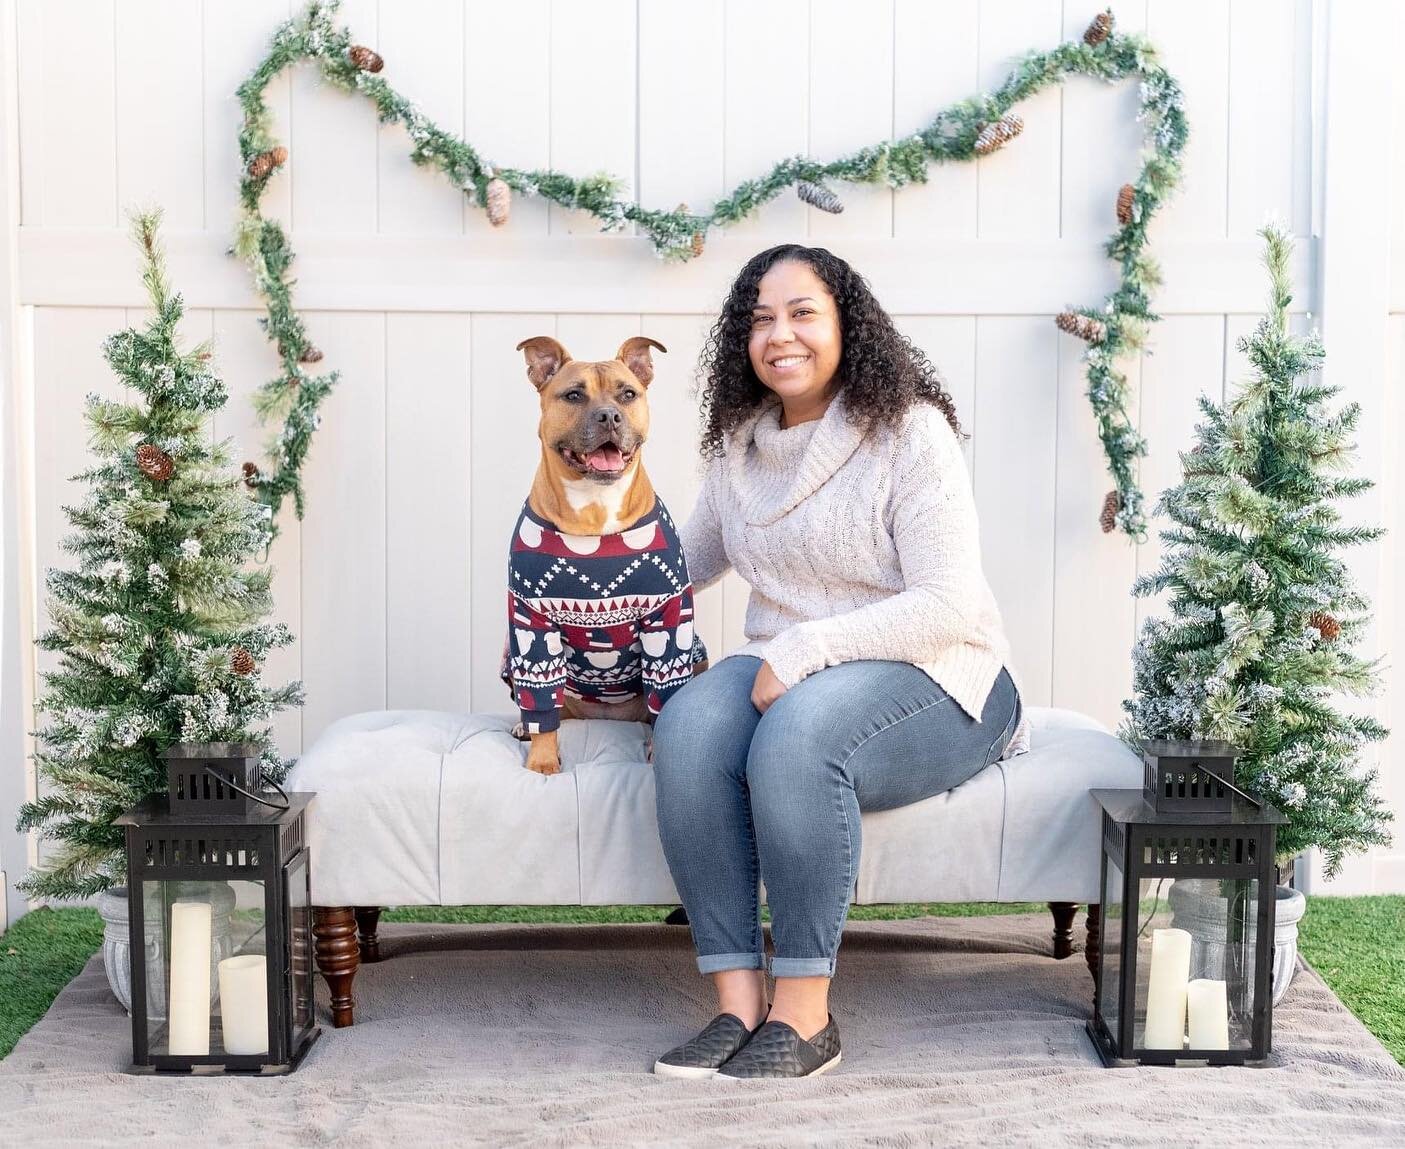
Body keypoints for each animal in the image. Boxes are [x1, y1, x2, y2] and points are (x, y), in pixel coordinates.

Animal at [502, 335, 708, 775]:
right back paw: (526, 727)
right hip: (512, 651)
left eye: (627, 394)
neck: (593, 513)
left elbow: (664, 693)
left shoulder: (668, 619)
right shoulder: (531, 621)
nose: (609, 416)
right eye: (573, 395)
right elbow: (540, 697)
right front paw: (542, 760)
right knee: (552, 709)